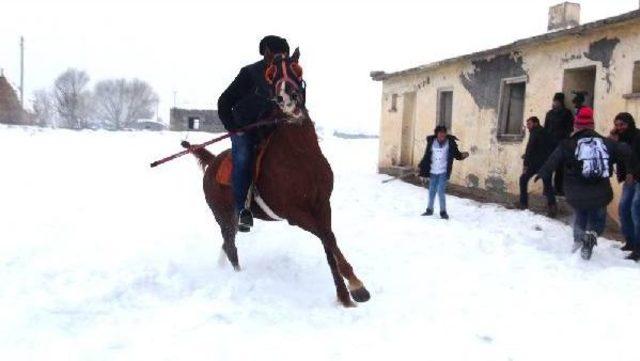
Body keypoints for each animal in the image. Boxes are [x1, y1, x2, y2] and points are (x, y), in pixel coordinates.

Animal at [181, 47, 370, 306]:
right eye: (271, 74)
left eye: (297, 69)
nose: (287, 96)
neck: (301, 156)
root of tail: (212, 162)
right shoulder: (294, 213)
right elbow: (326, 238)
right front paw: (352, 290)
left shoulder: (322, 204)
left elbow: (330, 240)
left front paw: (349, 291)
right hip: (224, 216)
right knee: (230, 247)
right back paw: (239, 277)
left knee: (227, 246)